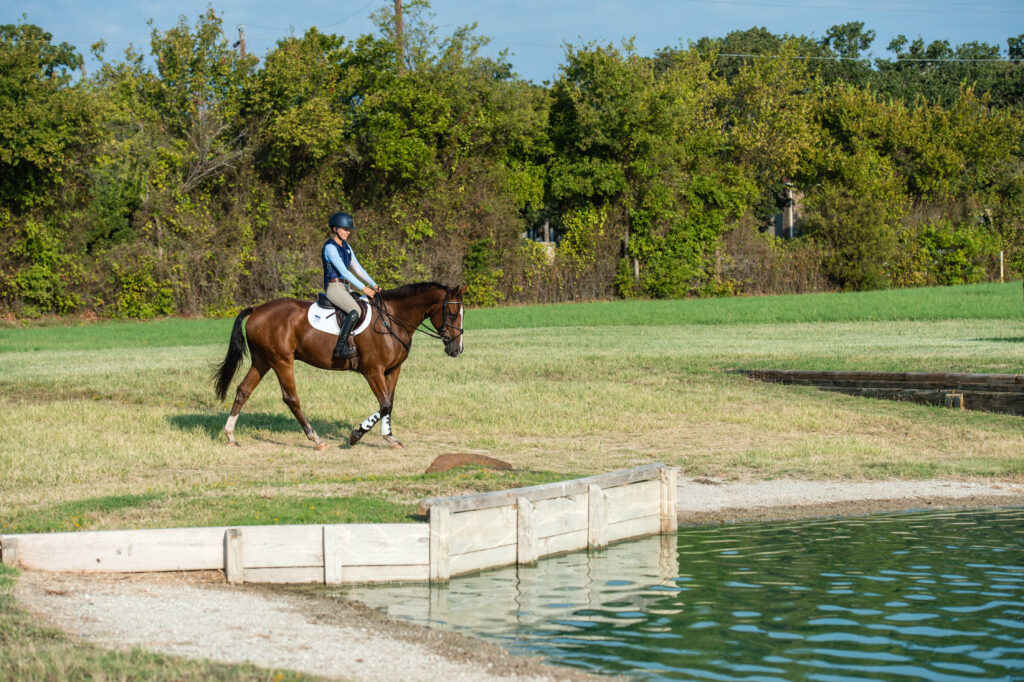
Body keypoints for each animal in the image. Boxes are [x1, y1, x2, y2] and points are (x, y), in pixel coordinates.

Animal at [213, 281, 466, 450]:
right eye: (453, 314)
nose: (456, 350)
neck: (392, 320)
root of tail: (256, 309)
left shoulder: (393, 370)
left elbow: (389, 404)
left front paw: (390, 437)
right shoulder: (372, 371)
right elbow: (384, 404)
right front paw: (356, 435)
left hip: (262, 361)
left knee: (243, 390)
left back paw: (230, 435)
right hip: (281, 361)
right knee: (291, 399)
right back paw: (316, 439)